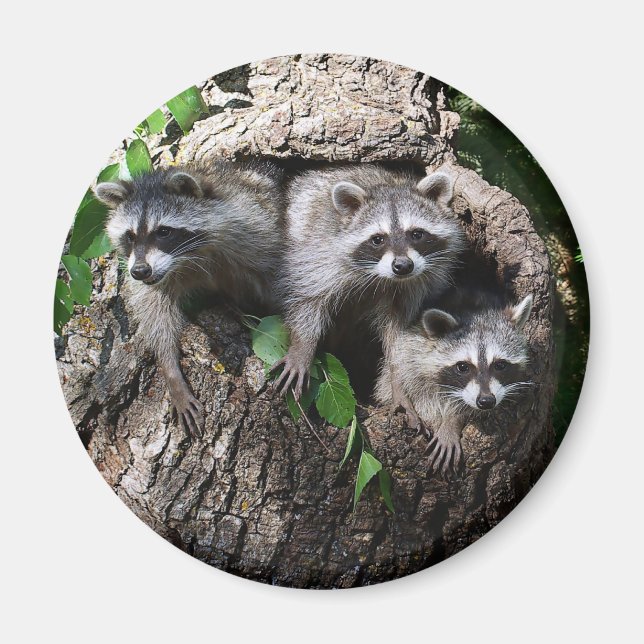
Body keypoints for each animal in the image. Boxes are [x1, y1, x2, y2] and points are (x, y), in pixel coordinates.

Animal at [94, 160, 284, 437]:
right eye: (130, 236)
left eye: (163, 232)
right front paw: (171, 371)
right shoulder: (155, 279)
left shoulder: (257, 232)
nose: (140, 271)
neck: (188, 258)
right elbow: (155, 316)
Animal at [273, 165, 466, 401]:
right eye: (378, 239)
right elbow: (307, 298)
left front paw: (396, 379)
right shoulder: (318, 251)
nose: (403, 266)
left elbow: (398, 334)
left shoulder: (412, 287)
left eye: (417, 234)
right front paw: (302, 347)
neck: (382, 278)